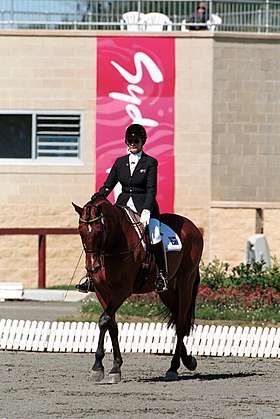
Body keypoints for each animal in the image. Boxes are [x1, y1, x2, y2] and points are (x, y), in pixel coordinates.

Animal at [72, 195, 203, 382]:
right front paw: (115, 367)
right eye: (81, 231)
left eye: (99, 231)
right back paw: (188, 360)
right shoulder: (101, 291)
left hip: (186, 281)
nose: (93, 268)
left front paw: (98, 367)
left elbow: (104, 320)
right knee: (178, 317)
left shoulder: (122, 290)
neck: (114, 243)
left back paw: (173, 368)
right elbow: (112, 325)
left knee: (181, 323)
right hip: (167, 291)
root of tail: (192, 226)